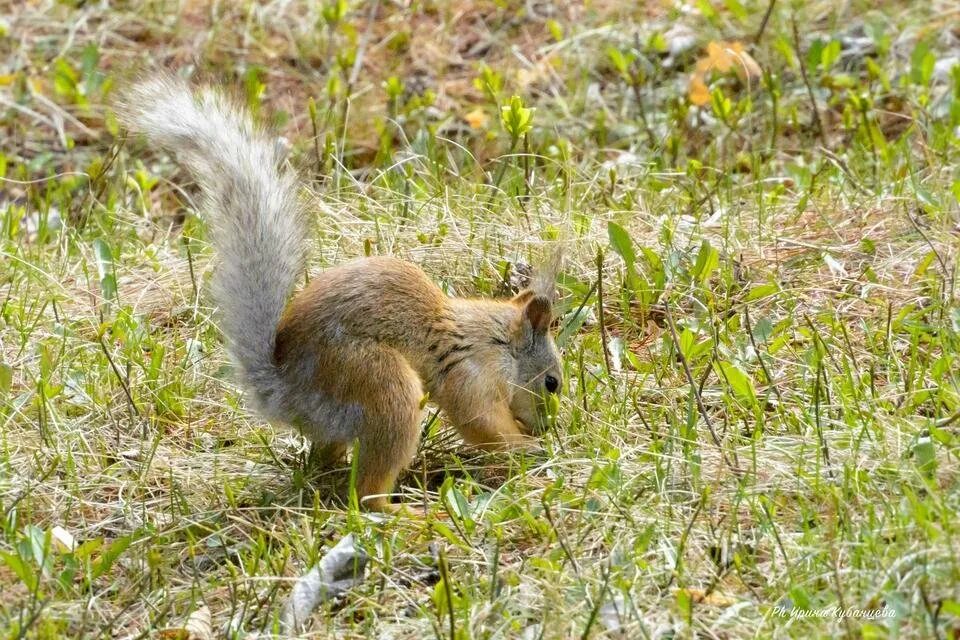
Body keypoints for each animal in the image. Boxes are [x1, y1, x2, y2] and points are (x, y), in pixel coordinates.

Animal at [121, 77, 568, 512]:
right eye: (552, 383)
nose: (549, 427)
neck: (493, 339)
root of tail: (285, 396)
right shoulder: (471, 374)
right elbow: (482, 425)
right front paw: (529, 449)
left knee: (326, 461)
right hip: (380, 384)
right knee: (367, 494)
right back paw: (408, 510)